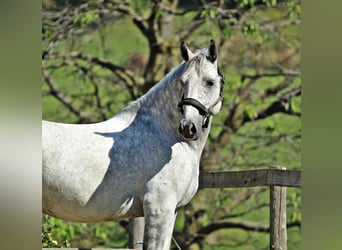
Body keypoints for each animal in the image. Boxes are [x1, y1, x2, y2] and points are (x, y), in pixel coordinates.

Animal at [42, 40, 224, 249]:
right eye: (183, 82)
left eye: (210, 82)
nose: (188, 127)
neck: (165, 135)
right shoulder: (159, 210)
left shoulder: (171, 211)